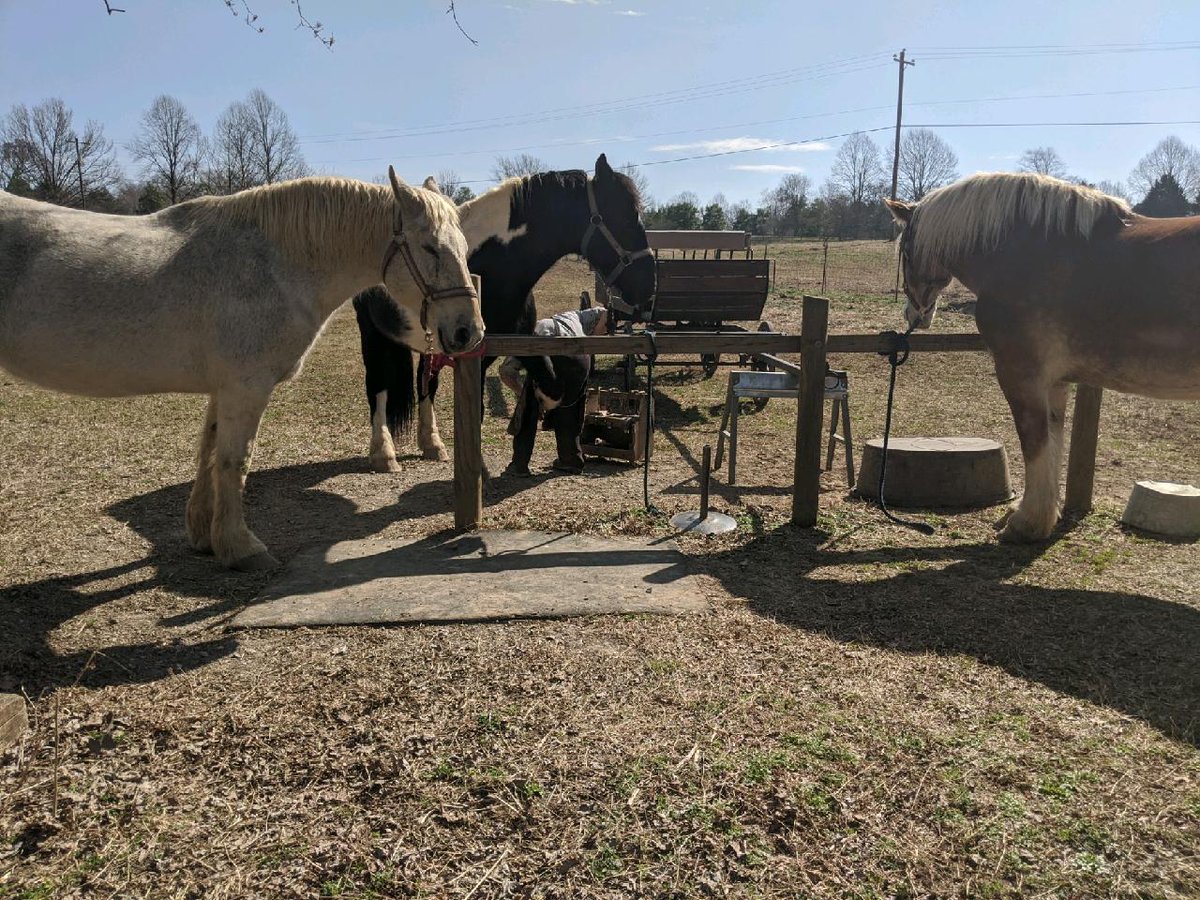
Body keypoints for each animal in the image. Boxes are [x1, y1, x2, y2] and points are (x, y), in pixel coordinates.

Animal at [0, 167, 484, 570]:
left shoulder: (223, 388)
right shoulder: (246, 386)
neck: (272, 263)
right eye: (430, 248)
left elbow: (209, 454)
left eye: (465, 250)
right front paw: (241, 548)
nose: (468, 332)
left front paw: (203, 535)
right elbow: (235, 461)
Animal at [353, 152, 654, 472]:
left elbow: (552, 387)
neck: (493, 268)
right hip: (372, 335)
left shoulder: (519, 340)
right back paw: (384, 454)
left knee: (427, 385)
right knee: (378, 388)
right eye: (625, 217)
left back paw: (432, 445)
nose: (648, 286)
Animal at [884, 172, 1200, 542]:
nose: (913, 314)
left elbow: (1033, 440)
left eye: (905, 251)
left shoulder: (1021, 376)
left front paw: (1026, 523)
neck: (1027, 252)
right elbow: (1054, 441)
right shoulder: (1055, 383)